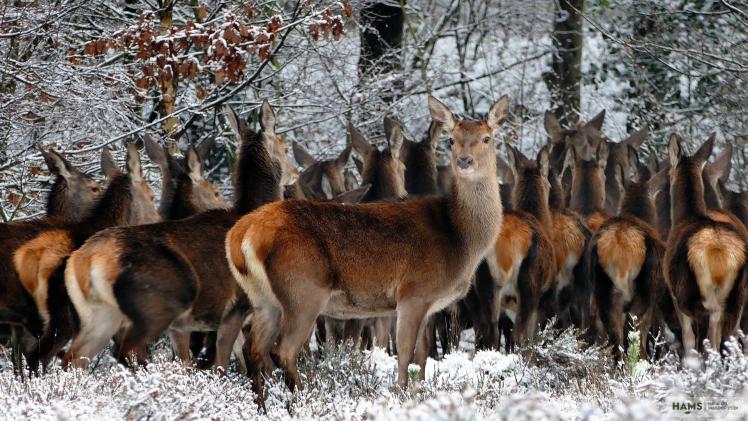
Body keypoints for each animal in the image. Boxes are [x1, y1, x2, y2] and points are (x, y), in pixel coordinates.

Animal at [60, 101, 284, 370]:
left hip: (98, 315)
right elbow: (223, 364)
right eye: (282, 143)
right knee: (127, 352)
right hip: (158, 303)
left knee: (73, 359)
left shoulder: (184, 327)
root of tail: (88, 258)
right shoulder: (235, 308)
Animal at [226, 94, 508, 398]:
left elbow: (422, 357)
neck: (459, 239)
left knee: (252, 349)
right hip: (302, 289)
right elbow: (405, 355)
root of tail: (240, 233)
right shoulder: (413, 292)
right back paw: (302, 397)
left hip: (263, 298)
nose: (464, 161)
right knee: (283, 351)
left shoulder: (428, 304)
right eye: (452, 139)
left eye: (487, 138)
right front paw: (402, 396)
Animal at [668, 134, 748, 352]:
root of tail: (721, 256)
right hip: (738, 298)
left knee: (708, 341)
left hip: (702, 298)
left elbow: (688, 340)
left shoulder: (676, 297)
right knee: (730, 337)